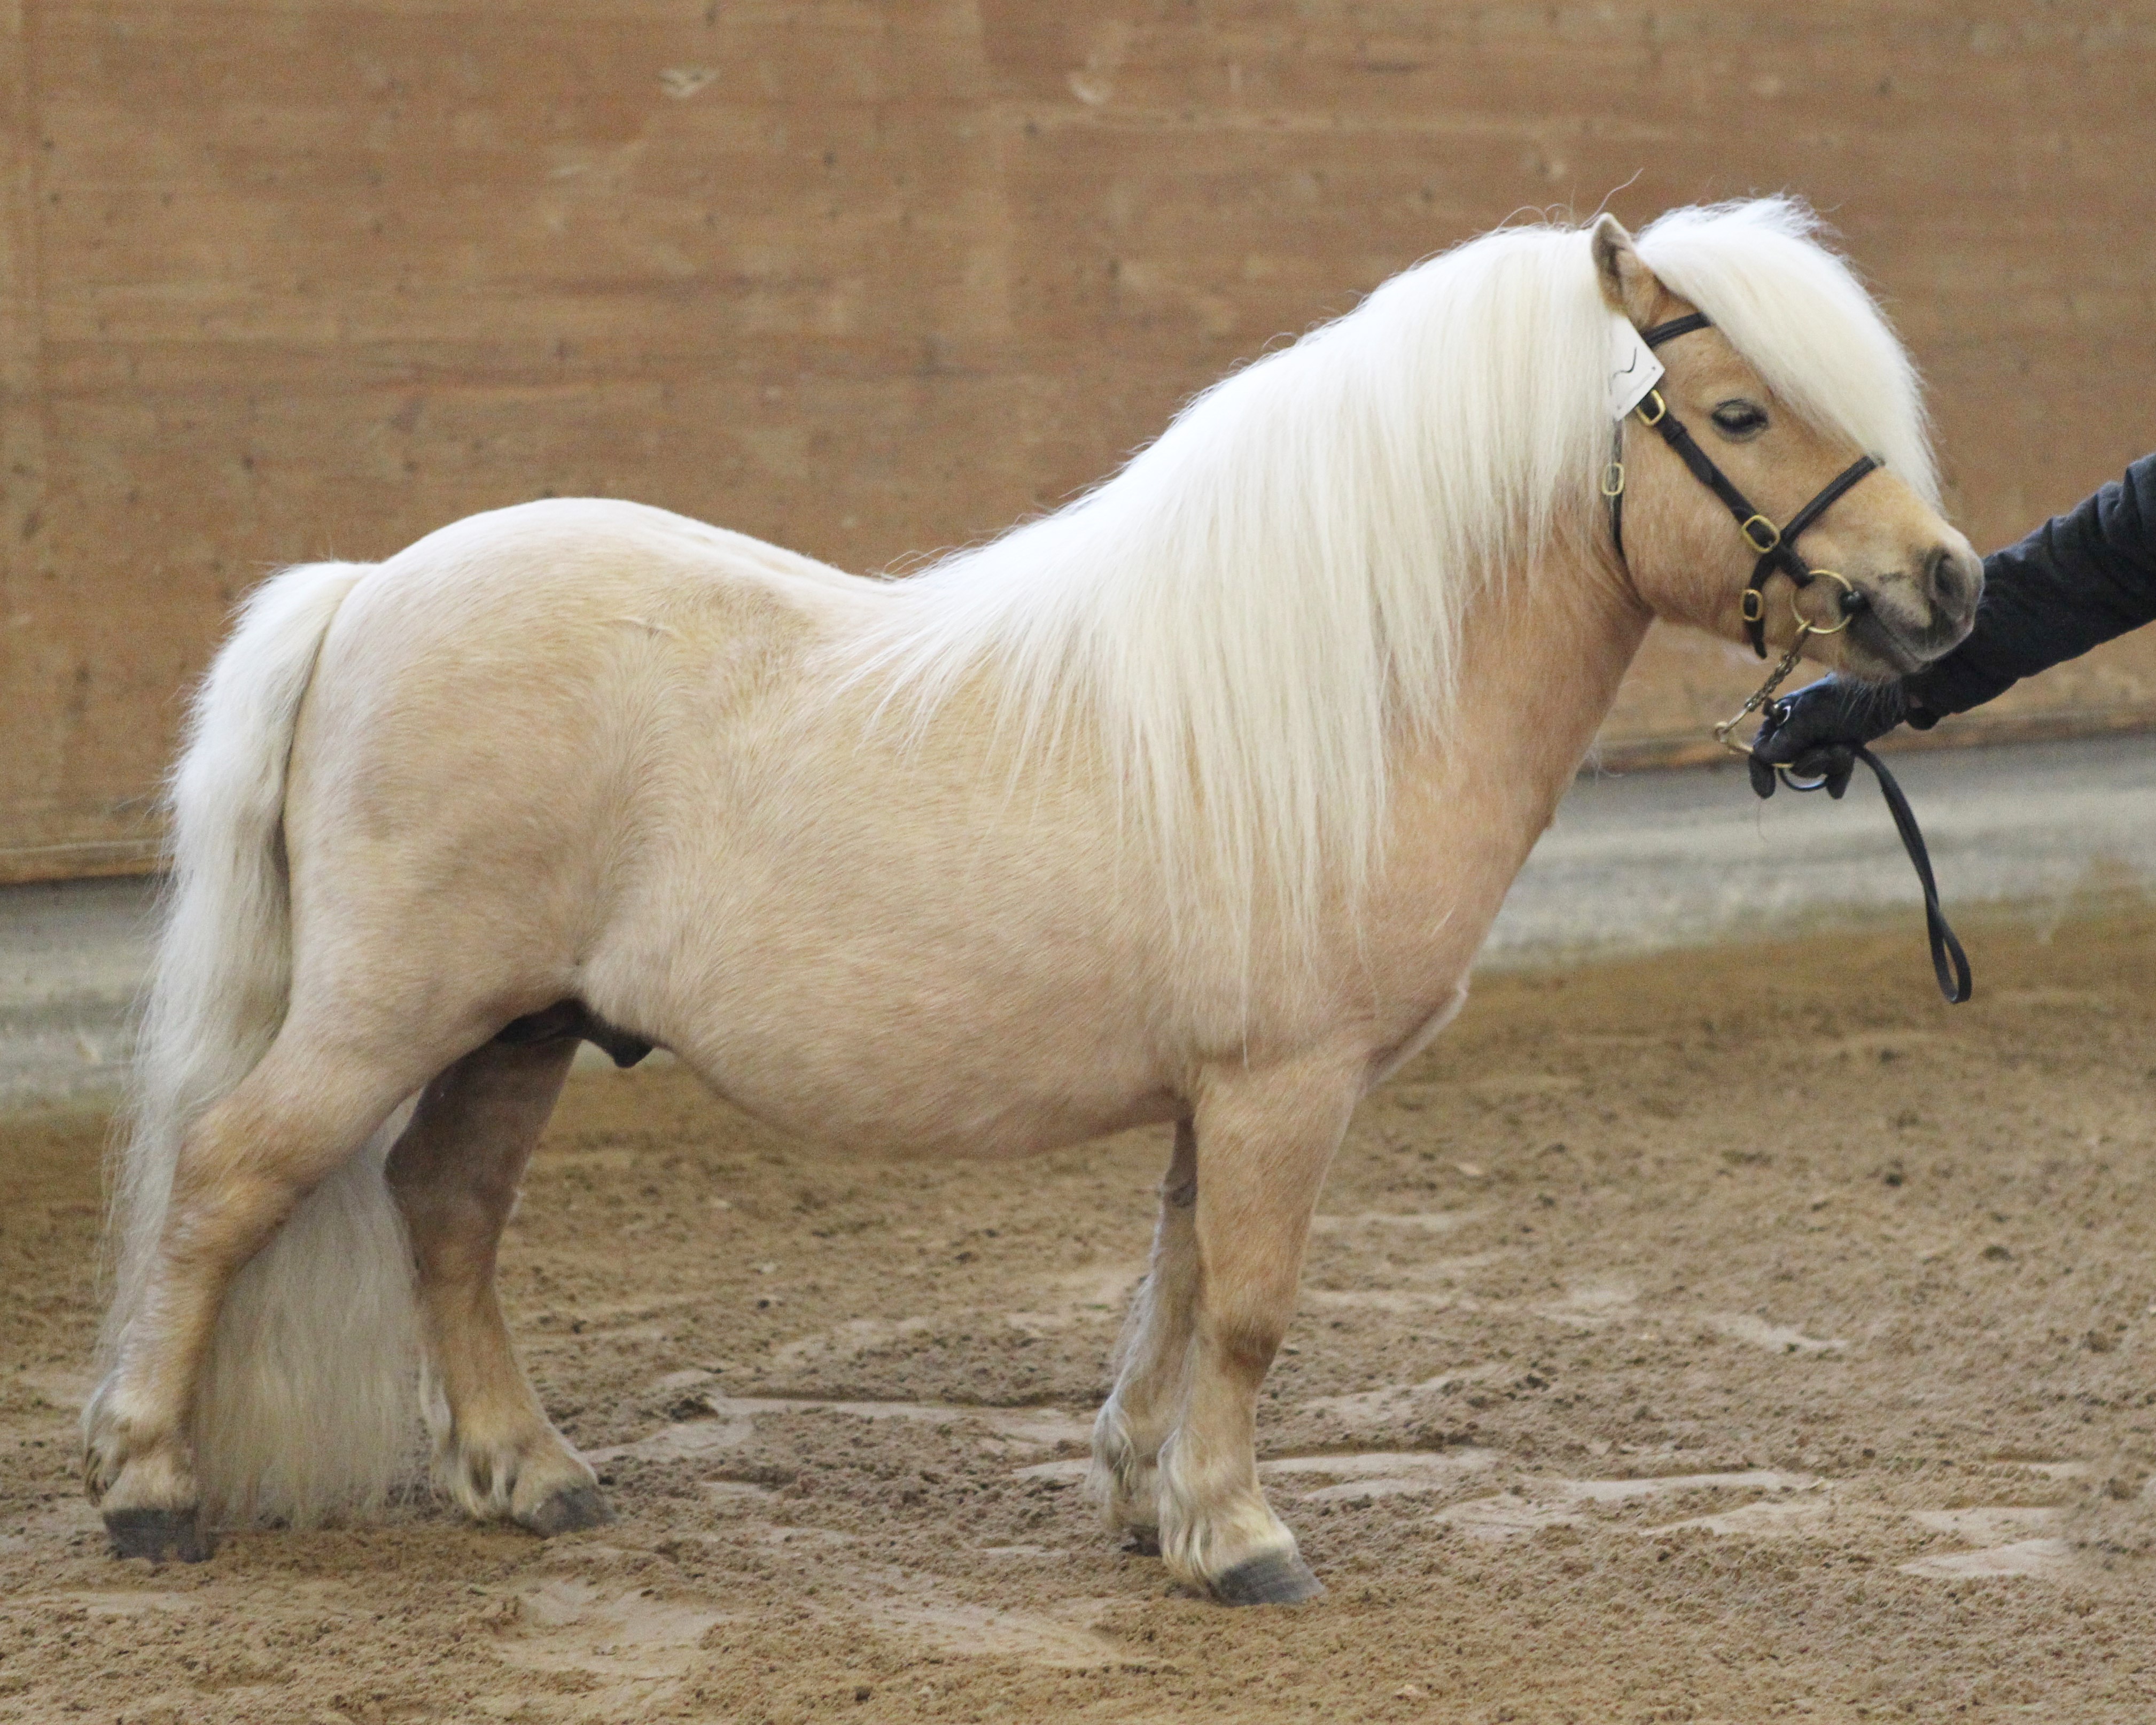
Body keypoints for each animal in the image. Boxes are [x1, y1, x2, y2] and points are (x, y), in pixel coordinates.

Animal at [84, 198, 1975, 1604]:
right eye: (1736, 413)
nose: (1946, 585)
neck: (1344, 685)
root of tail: (367, 589)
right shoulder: (1286, 1084)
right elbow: (1252, 1301)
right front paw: (1245, 1539)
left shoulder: (1224, 1093)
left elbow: (1177, 1285)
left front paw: (1153, 1499)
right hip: (392, 1012)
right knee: (233, 1178)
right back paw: (148, 1486)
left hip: (520, 1027)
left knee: (447, 1211)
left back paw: (530, 1475)